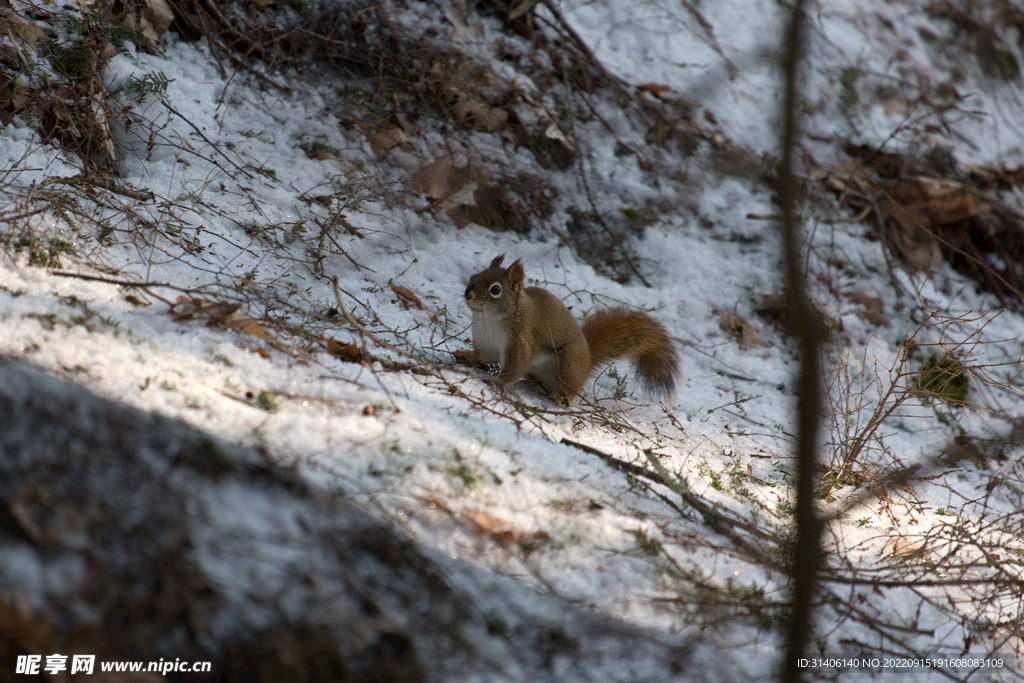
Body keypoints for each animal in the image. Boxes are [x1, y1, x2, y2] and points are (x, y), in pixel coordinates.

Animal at [462, 255, 679, 405]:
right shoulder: (486, 341)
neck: (491, 320)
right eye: (473, 277)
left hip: (568, 365)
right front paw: (467, 356)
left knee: (572, 390)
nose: (468, 295)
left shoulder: (521, 341)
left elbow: (516, 366)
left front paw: (496, 381)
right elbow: (483, 355)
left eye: (495, 290)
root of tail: (587, 362)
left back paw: (562, 398)